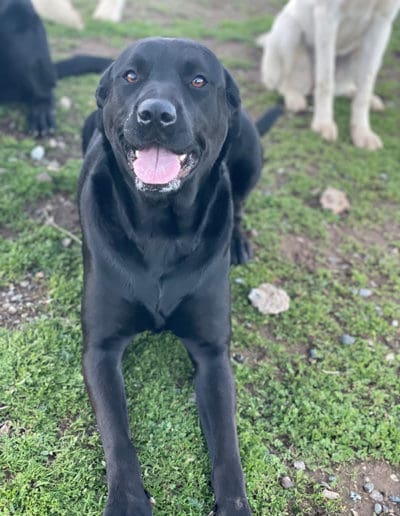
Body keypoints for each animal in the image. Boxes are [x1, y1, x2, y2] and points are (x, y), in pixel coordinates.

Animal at [79, 37, 282, 516]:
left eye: (198, 81)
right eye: (131, 76)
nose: (155, 114)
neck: (161, 229)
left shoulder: (212, 353)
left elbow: (227, 443)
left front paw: (234, 505)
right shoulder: (99, 349)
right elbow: (117, 434)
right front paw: (128, 502)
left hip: (247, 149)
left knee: (239, 200)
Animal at [258, 0, 398, 149]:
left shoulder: (382, 24)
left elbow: (365, 88)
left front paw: (362, 132)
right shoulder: (327, 17)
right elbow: (326, 81)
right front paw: (323, 123)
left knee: (346, 87)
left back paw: (367, 98)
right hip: (290, 30)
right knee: (283, 84)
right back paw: (294, 98)